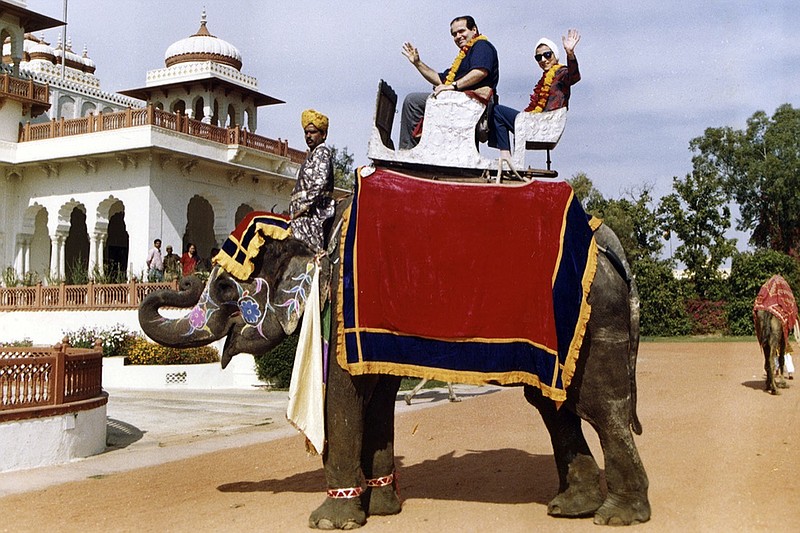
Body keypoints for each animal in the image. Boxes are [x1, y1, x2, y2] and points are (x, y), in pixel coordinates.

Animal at [138, 181, 648, 524]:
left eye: (226, 287)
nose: (178, 275)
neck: (321, 232)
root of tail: (605, 239)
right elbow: (377, 400)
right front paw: (382, 508)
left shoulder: (340, 310)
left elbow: (340, 400)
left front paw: (330, 521)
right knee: (553, 404)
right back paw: (570, 507)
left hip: (595, 317)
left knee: (599, 406)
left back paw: (617, 515)